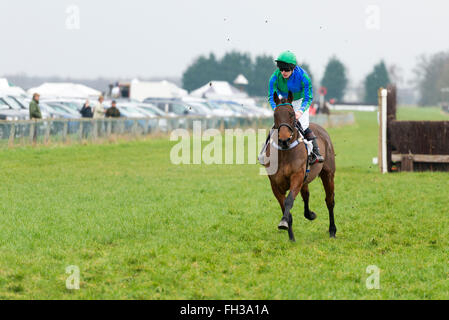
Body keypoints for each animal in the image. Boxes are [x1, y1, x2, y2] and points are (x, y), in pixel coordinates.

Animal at [262, 91, 336, 241]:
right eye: (275, 114)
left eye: (291, 114)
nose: (284, 139)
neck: (284, 152)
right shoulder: (275, 184)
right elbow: (285, 207)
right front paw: (291, 237)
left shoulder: (297, 176)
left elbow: (289, 201)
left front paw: (284, 223)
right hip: (305, 178)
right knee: (306, 195)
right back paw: (310, 214)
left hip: (328, 174)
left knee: (330, 201)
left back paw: (332, 230)